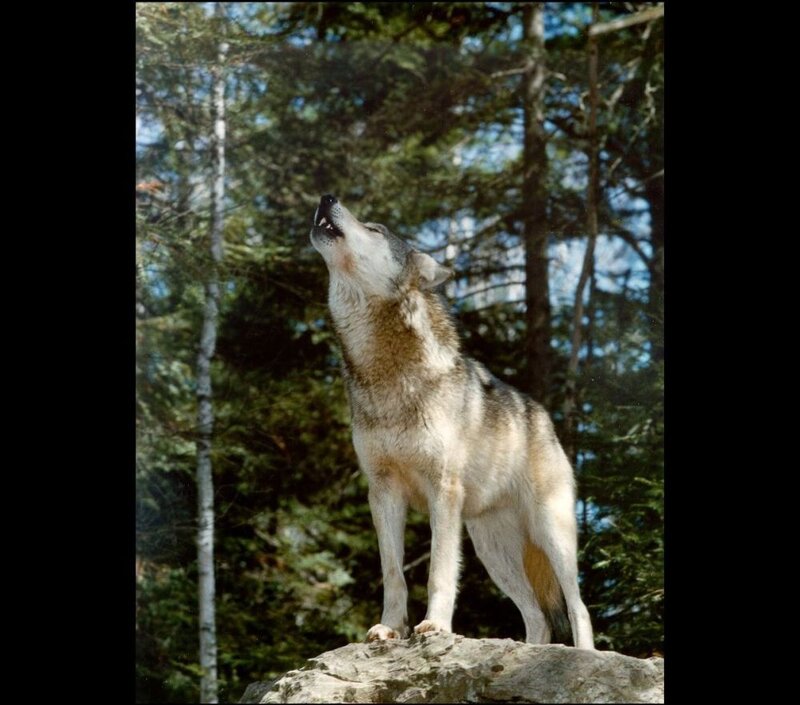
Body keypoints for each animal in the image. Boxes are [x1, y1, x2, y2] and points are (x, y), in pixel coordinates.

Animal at [310, 194, 595, 649]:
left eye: (374, 230)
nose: (327, 197)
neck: (387, 374)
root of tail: (544, 417)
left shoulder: (441, 491)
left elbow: (438, 571)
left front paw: (436, 626)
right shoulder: (383, 491)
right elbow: (394, 574)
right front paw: (389, 628)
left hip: (551, 535)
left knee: (577, 607)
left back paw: (583, 657)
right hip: (492, 550)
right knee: (538, 617)